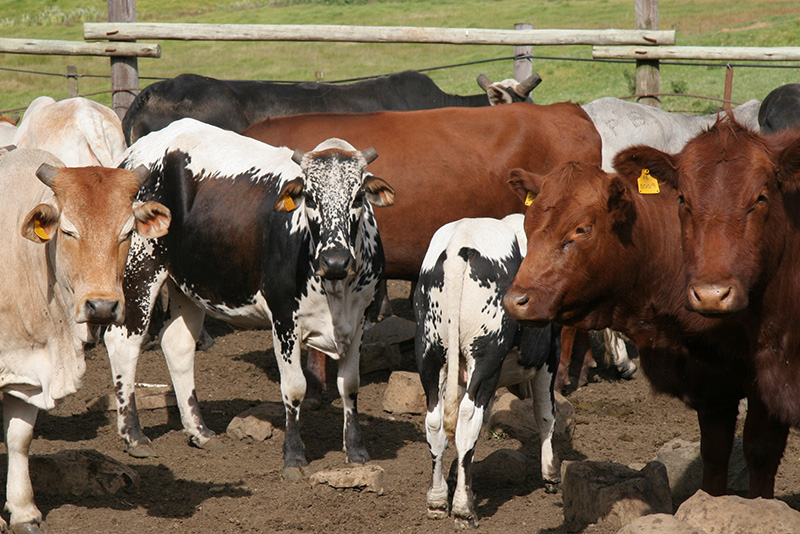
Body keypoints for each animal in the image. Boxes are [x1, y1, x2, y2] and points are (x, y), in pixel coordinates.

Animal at [104, 118, 396, 478]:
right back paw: (133, 435)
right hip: (140, 269)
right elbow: (294, 388)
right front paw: (293, 456)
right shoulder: (284, 321)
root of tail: (141, 149)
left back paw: (199, 430)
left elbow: (350, 385)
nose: (335, 260)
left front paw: (356, 451)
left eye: (357, 197)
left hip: (187, 282)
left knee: (177, 345)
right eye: (310, 197)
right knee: (123, 342)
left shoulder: (359, 320)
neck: (335, 291)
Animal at [416, 215, 560, 532]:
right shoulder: (549, 356)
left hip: (429, 354)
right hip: (485, 353)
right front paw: (550, 473)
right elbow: (545, 412)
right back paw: (463, 509)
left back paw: (437, 500)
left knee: (436, 421)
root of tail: (460, 242)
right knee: (468, 417)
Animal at [504, 158, 792, 498]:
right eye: (528, 224)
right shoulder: (711, 382)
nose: (516, 300)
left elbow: (760, 455)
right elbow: (714, 453)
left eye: (581, 228)